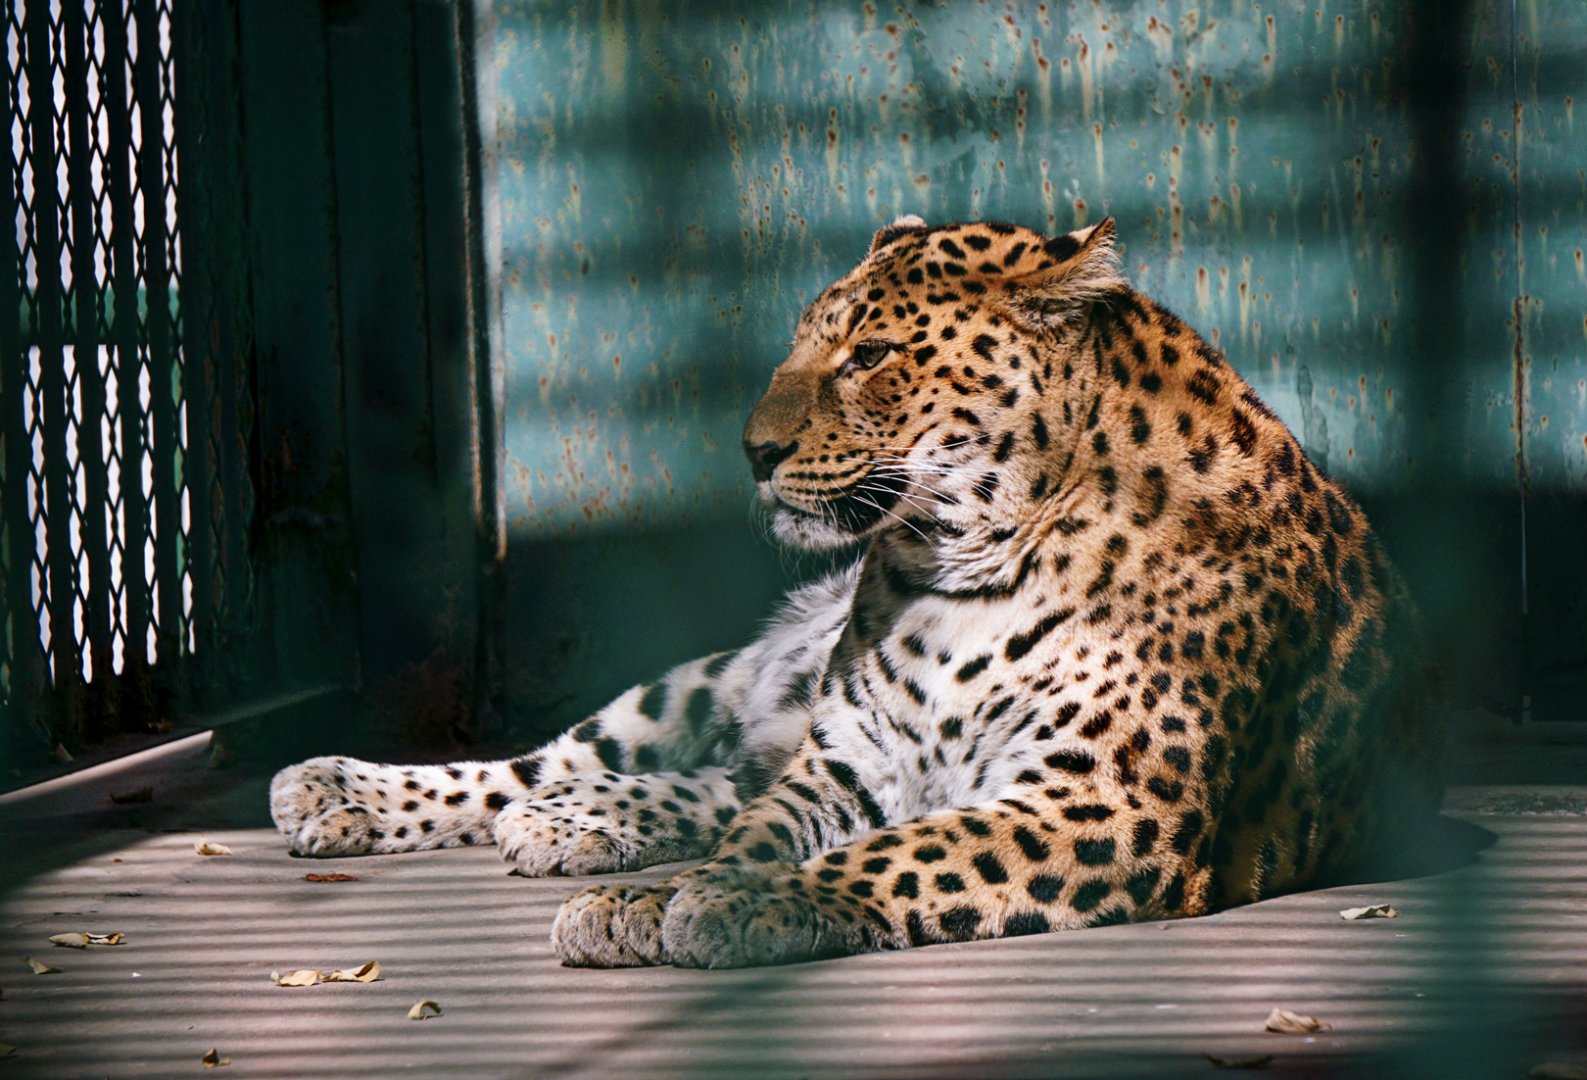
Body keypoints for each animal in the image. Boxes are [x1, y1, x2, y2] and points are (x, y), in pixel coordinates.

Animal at [270, 215, 1444, 969]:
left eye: (870, 354)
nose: (752, 452)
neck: (957, 578)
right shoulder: (844, 764)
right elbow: (764, 829)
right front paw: (656, 899)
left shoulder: (1108, 803)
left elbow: (897, 855)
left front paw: (721, 903)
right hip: (710, 680)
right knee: (554, 763)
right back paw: (348, 790)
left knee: (695, 786)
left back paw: (576, 823)